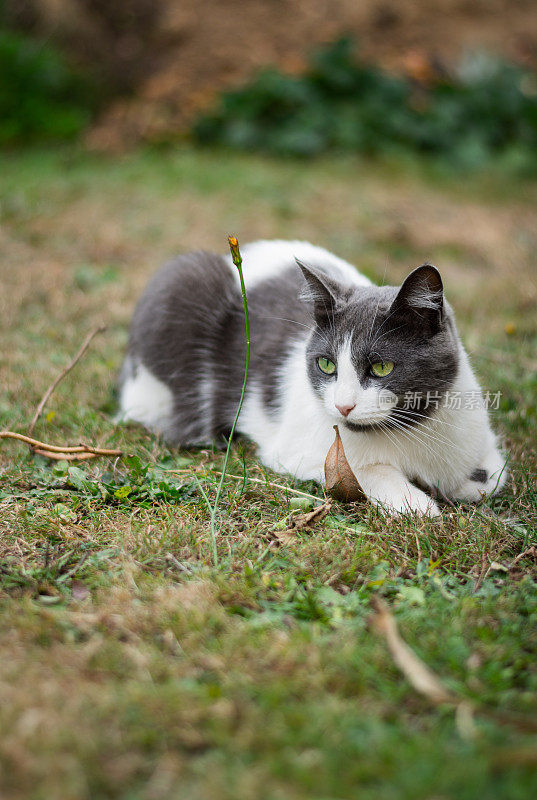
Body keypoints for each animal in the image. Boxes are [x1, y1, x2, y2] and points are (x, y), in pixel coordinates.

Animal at [118, 238, 506, 516]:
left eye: (381, 368)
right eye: (326, 365)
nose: (343, 406)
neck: (409, 432)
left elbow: (488, 479)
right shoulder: (301, 448)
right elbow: (365, 469)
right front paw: (414, 502)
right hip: (181, 284)